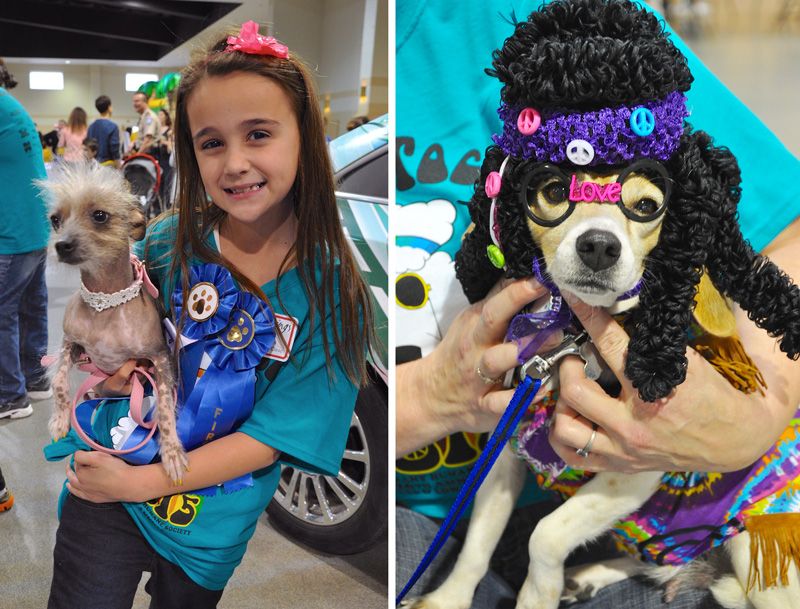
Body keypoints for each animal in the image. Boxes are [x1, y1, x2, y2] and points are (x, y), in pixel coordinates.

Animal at [44, 163, 188, 484]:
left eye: (100, 216)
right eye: (55, 220)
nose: (61, 245)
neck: (105, 303)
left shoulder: (159, 359)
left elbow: (164, 409)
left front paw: (172, 452)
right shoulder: (70, 344)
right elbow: (59, 381)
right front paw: (59, 419)